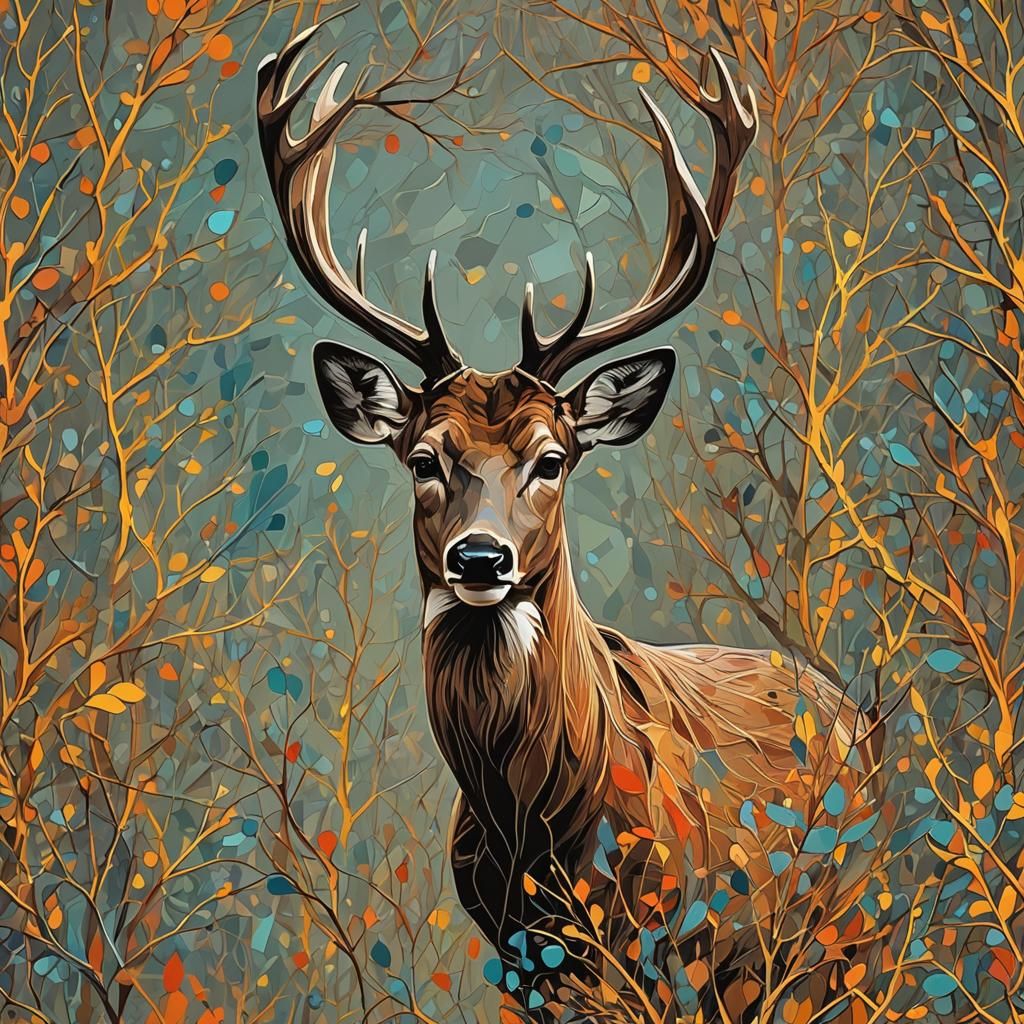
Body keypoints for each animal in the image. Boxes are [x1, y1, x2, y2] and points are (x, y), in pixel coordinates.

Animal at [258, 23, 871, 1024]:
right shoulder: (517, 961)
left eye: (551, 459)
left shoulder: (667, 945)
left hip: (839, 929)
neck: (539, 829)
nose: (480, 556)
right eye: (424, 459)